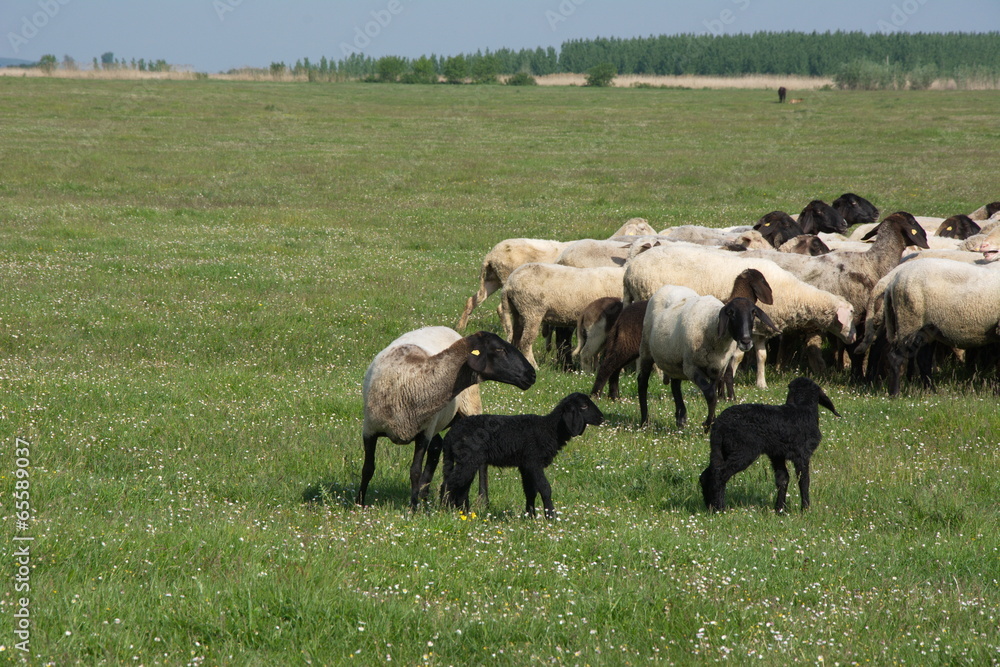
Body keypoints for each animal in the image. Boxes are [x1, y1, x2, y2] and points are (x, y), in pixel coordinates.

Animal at [359, 327, 536, 509]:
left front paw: (413, 508)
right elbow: (368, 468)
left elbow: (415, 471)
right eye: (500, 349)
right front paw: (360, 503)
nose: (531, 374)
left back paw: (482, 501)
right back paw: (426, 496)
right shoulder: (370, 429)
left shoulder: (424, 433)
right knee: (437, 447)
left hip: (470, 408)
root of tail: (445, 328)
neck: (412, 379)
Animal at [440, 392, 604, 519]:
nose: (602, 418)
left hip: (468, 461)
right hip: (468, 460)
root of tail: (450, 435)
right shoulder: (533, 461)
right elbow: (545, 488)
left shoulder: (525, 466)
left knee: (462, 488)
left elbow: (530, 491)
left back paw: (464, 513)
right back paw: (444, 509)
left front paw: (530, 516)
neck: (550, 429)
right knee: (449, 483)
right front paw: (551, 516)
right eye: (584, 406)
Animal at [622, 244, 856, 388]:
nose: (854, 338)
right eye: (852, 313)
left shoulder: (759, 329)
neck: (793, 292)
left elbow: (762, 356)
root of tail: (630, 269)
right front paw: (731, 378)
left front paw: (761, 384)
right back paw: (658, 374)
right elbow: (739, 356)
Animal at [637, 270, 779, 431]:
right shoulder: (691, 367)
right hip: (647, 349)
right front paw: (707, 424)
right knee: (642, 382)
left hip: (675, 357)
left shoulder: (717, 368)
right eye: (731, 313)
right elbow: (711, 394)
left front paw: (711, 422)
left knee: (675, 385)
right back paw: (644, 421)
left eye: (753, 313)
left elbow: (714, 394)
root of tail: (670, 286)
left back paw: (681, 418)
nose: (746, 341)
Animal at [700, 377, 841, 513]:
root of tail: (719, 425)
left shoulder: (777, 454)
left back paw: (710, 506)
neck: (802, 408)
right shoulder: (802, 454)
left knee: (707, 474)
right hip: (743, 450)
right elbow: (804, 480)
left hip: (721, 450)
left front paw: (780, 510)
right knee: (720, 474)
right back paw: (720, 508)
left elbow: (783, 479)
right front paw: (805, 509)